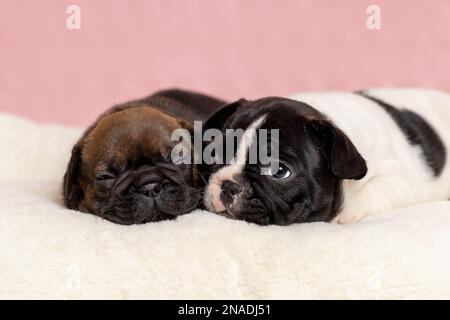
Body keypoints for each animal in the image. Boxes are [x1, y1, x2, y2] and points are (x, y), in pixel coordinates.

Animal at [204, 88, 450, 225]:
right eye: (214, 153)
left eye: (279, 171)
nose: (228, 185)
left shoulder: (401, 178)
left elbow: (379, 188)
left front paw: (345, 213)